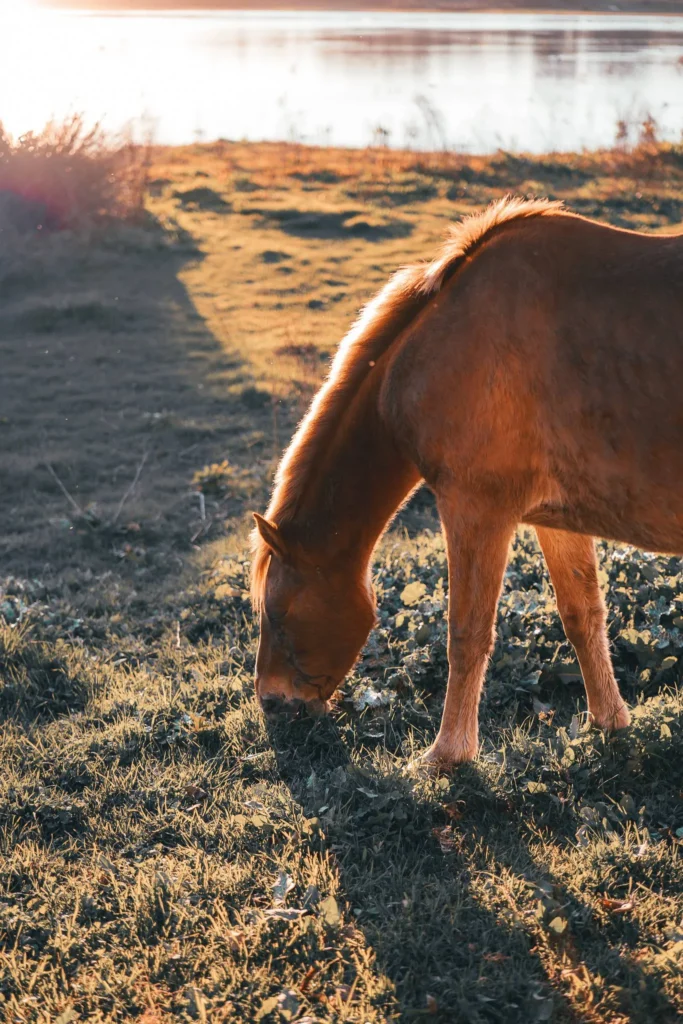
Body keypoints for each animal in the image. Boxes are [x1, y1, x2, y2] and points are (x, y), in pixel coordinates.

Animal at [251, 196, 683, 766]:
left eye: (277, 614)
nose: (271, 703)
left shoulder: (475, 508)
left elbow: (467, 634)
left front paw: (447, 754)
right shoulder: (556, 519)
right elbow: (582, 615)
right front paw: (608, 722)